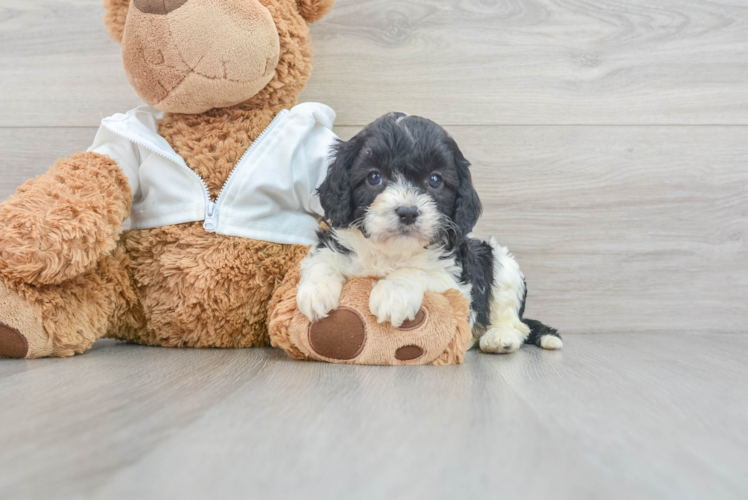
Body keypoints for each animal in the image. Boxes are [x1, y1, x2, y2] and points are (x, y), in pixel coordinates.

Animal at [298, 113, 560, 356]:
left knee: (518, 324)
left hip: (501, 265)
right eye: (374, 177)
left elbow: (422, 271)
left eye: (435, 180)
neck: (393, 251)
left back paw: (500, 338)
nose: (407, 212)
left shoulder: (458, 282)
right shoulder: (336, 241)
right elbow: (322, 259)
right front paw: (316, 290)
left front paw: (394, 292)